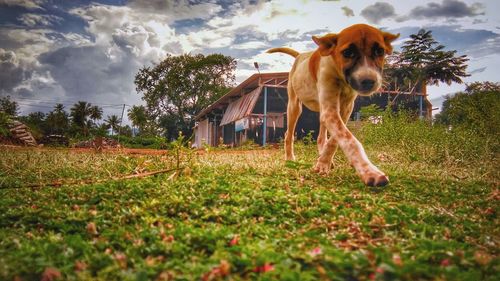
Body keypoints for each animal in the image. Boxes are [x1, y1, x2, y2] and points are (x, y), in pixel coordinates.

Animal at [268, 24, 400, 186]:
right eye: (347, 53)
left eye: (379, 51)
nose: (369, 81)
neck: (341, 77)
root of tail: (300, 55)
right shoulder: (330, 110)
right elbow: (349, 140)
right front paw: (369, 171)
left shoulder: (345, 109)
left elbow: (335, 139)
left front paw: (323, 162)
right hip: (294, 106)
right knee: (289, 134)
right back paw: (289, 159)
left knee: (321, 137)